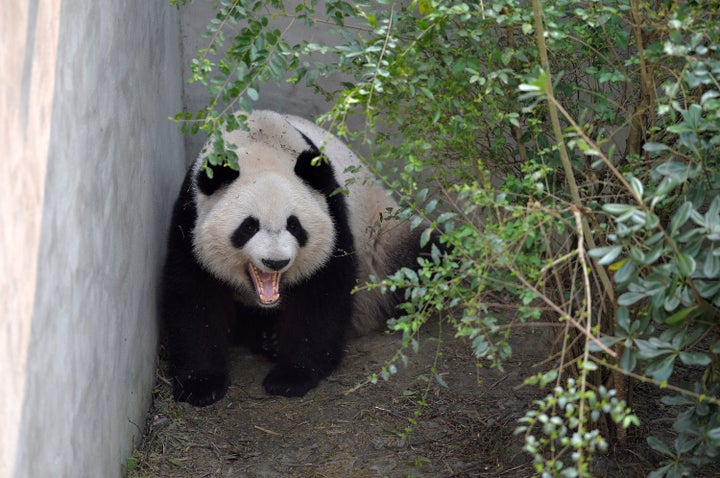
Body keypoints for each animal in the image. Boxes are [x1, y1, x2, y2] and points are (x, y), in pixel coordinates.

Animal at [160, 110, 424, 406]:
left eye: (294, 225)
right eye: (248, 226)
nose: (275, 262)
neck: (258, 143)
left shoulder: (332, 211)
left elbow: (322, 295)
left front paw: (291, 377)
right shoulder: (190, 218)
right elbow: (193, 297)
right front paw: (200, 385)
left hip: (385, 237)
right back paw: (265, 337)